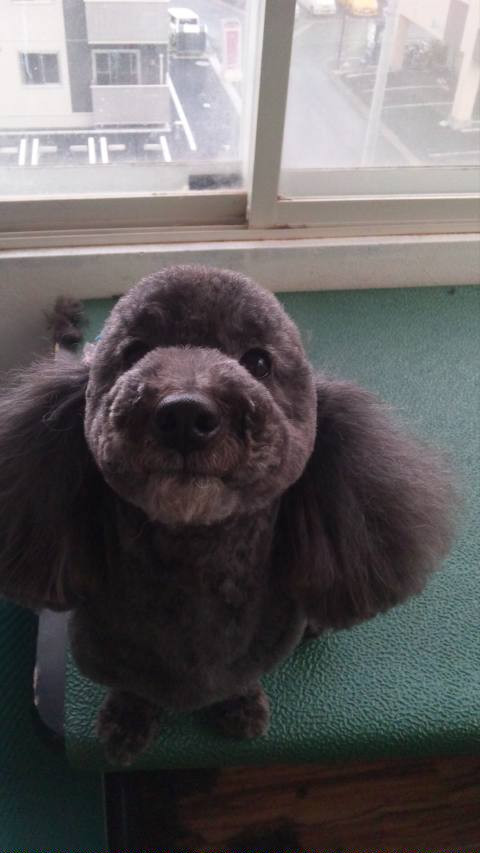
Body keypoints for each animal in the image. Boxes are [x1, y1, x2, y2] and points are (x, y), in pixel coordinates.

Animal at [0, 265, 455, 765]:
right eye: (135, 352)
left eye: (258, 362)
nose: (184, 414)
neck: (192, 561)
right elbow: (132, 687)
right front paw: (127, 718)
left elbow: (241, 679)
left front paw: (240, 706)